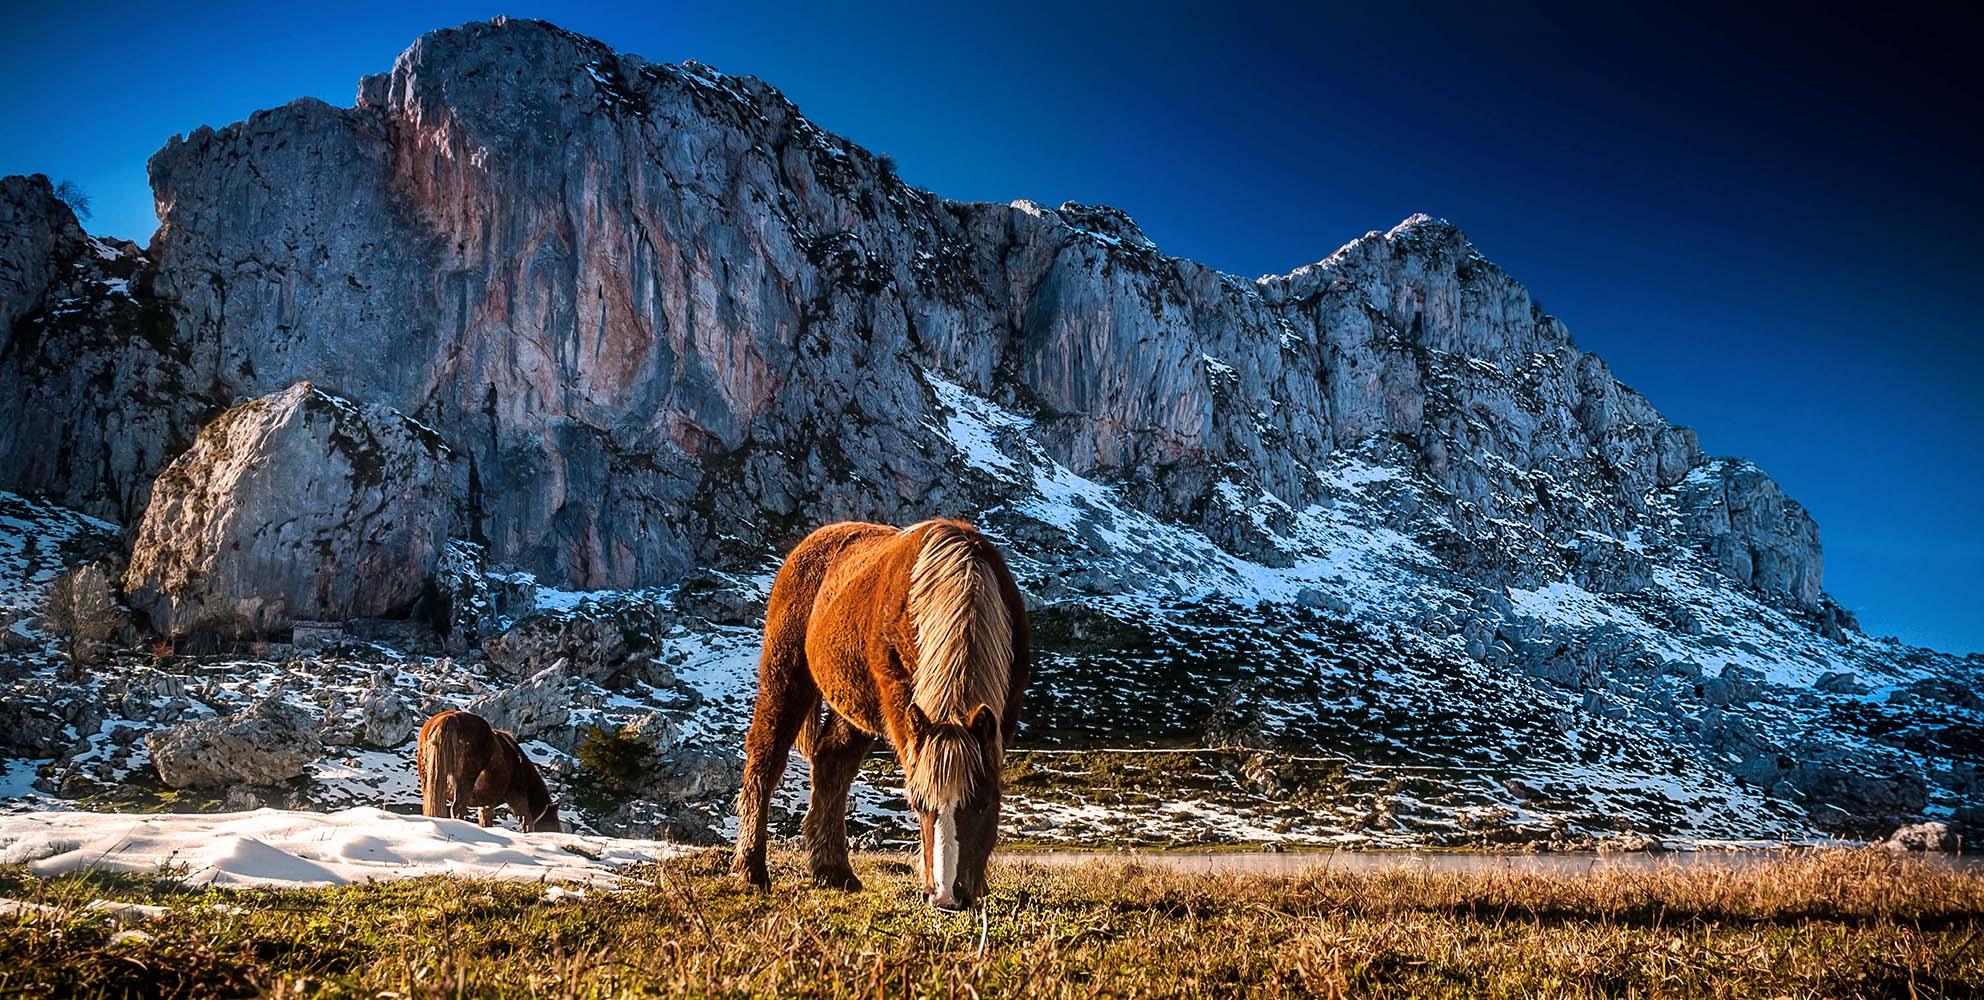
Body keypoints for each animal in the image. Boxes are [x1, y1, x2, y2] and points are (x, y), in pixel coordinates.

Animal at [416, 706, 563, 833]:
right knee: (458, 808)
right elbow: (526, 823)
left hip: (429, 782)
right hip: (465, 781)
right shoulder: (517, 799)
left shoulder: (486, 805)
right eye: (555, 825)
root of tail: (450, 718)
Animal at [734, 519, 1039, 908]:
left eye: (983, 804)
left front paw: (979, 886)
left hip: (851, 709)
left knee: (831, 764)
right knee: (765, 759)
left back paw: (833, 871)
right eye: (919, 805)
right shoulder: (902, 706)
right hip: (785, 676)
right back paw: (751, 870)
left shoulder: (1004, 713)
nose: (947, 899)